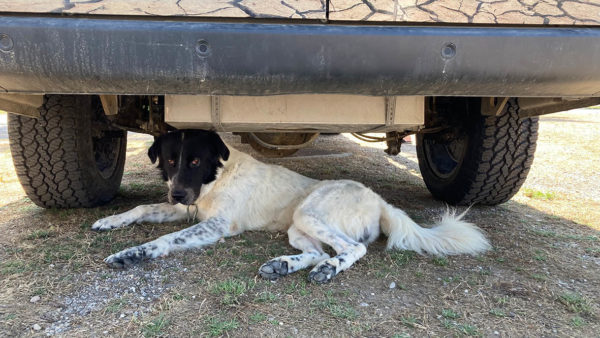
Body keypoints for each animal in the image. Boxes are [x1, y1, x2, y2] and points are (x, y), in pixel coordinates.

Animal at [91, 129, 490, 282]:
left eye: (195, 161)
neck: (217, 176)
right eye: (171, 160)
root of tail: (380, 201)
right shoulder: (187, 208)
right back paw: (283, 265)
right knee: (316, 251)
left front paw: (131, 254)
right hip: (298, 228)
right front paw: (110, 221)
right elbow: (142, 209)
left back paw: (328, 269)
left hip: (309, 212)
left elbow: (163, 241)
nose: (176, 193)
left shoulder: (215, 224)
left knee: (352, 248)